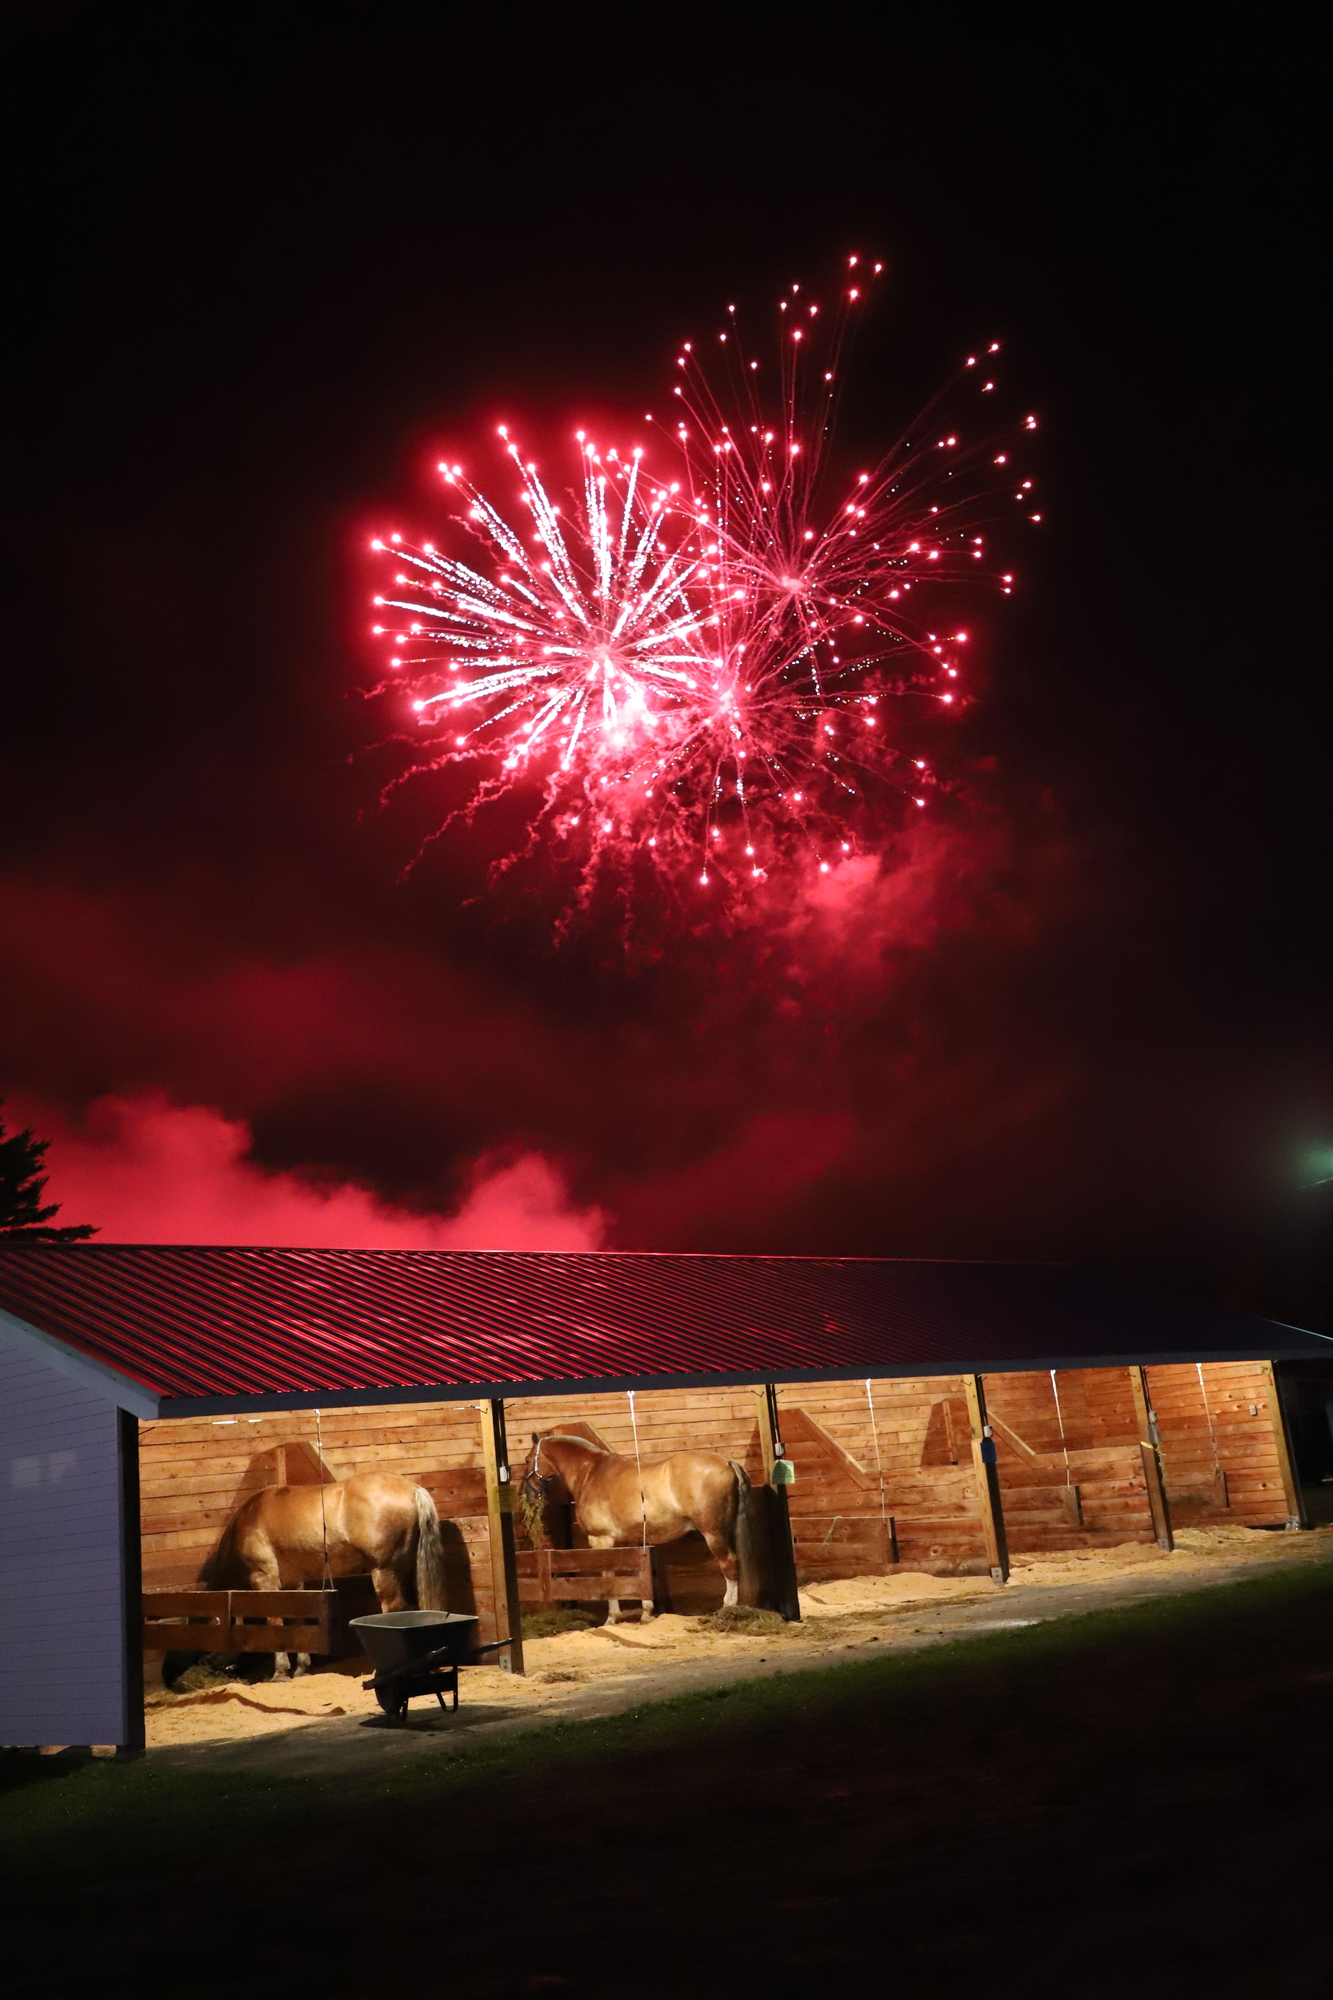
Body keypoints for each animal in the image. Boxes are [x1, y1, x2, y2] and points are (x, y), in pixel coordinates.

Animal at [210, 1472, 444, 1672]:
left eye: (214, 1620)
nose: (214, 1661)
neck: (251, 1517)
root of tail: (412, 1489)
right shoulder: (293, 1583)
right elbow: (297, 1620)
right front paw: (301, 1666)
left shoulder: (265, 1579)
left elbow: (274, 1621)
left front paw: (281, 1670)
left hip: (384, 1571)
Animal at [516, 1432, 752, 1616]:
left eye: (527, 1459)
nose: (527, 1495)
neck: (590, 1473)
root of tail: (726, 1461)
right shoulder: (637, 1539)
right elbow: (640, 1574)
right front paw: (646, 1612)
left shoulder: (601, 1540)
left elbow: (608, 1576)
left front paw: (613, 1617)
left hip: (713, 1534)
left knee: (729, 1564)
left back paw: (728, 1608)